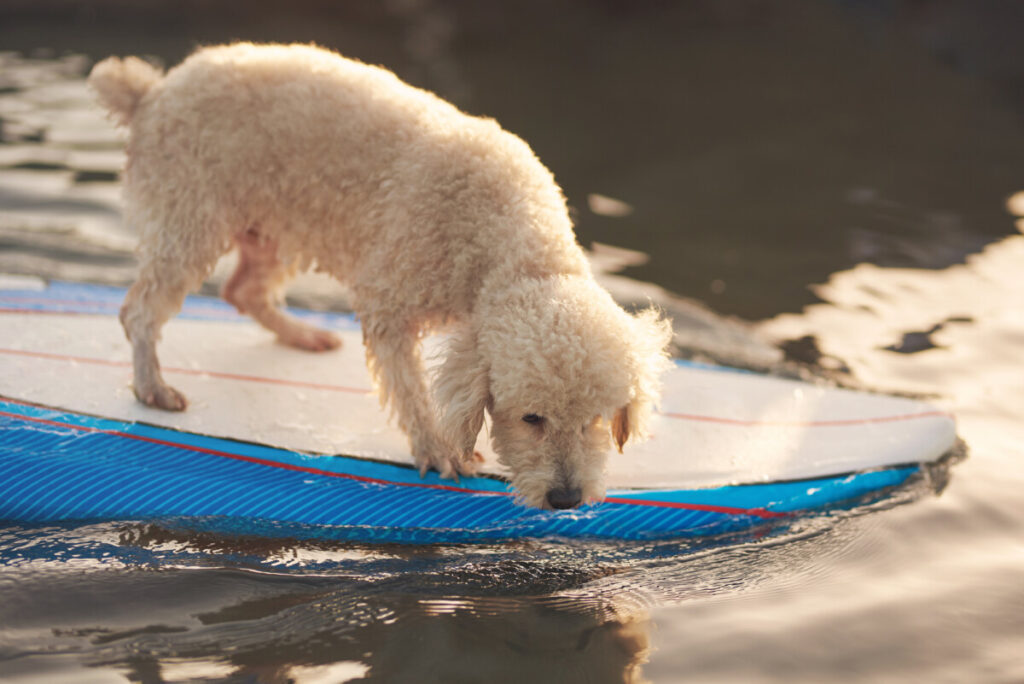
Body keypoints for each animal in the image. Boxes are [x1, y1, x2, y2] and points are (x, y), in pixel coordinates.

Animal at [88, 42, 671, 509]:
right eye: (531, 418)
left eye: (596, 419)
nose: (566, 499)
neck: (513, 239)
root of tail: (152, 91)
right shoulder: (389, 300)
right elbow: (411, 390)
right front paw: (438, 450)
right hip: (191, 219)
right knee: (140, 309)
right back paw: (151, 385)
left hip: (280, 223)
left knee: (241, 290)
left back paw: (302, 335)